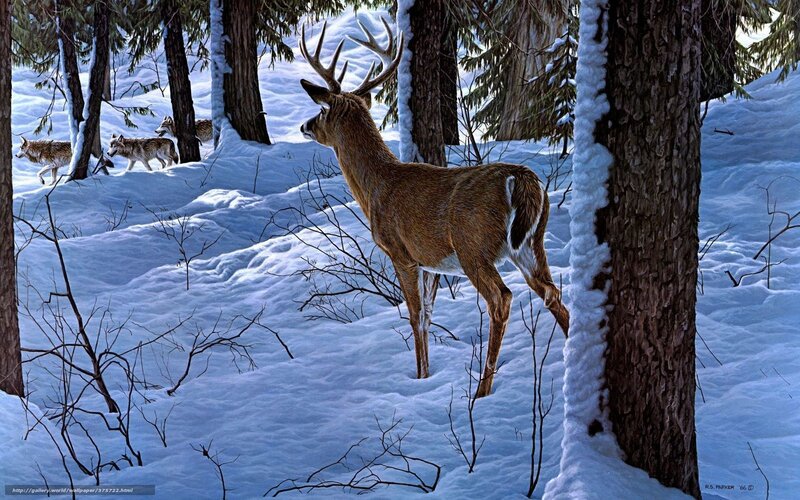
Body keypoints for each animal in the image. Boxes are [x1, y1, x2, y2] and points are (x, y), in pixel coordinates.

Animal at [298, 19, 570, 398]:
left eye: (322, 110)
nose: (305, 125)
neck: (377, 186)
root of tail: (522, 178)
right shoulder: (430, 262)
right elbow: (427, 316)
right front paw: (426, 377)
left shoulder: (401, 251)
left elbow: (414, 316)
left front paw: (419, 377)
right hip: (531, 243)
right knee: (552, 293)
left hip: (473, 246)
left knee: (501, 299)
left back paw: (482, 391)